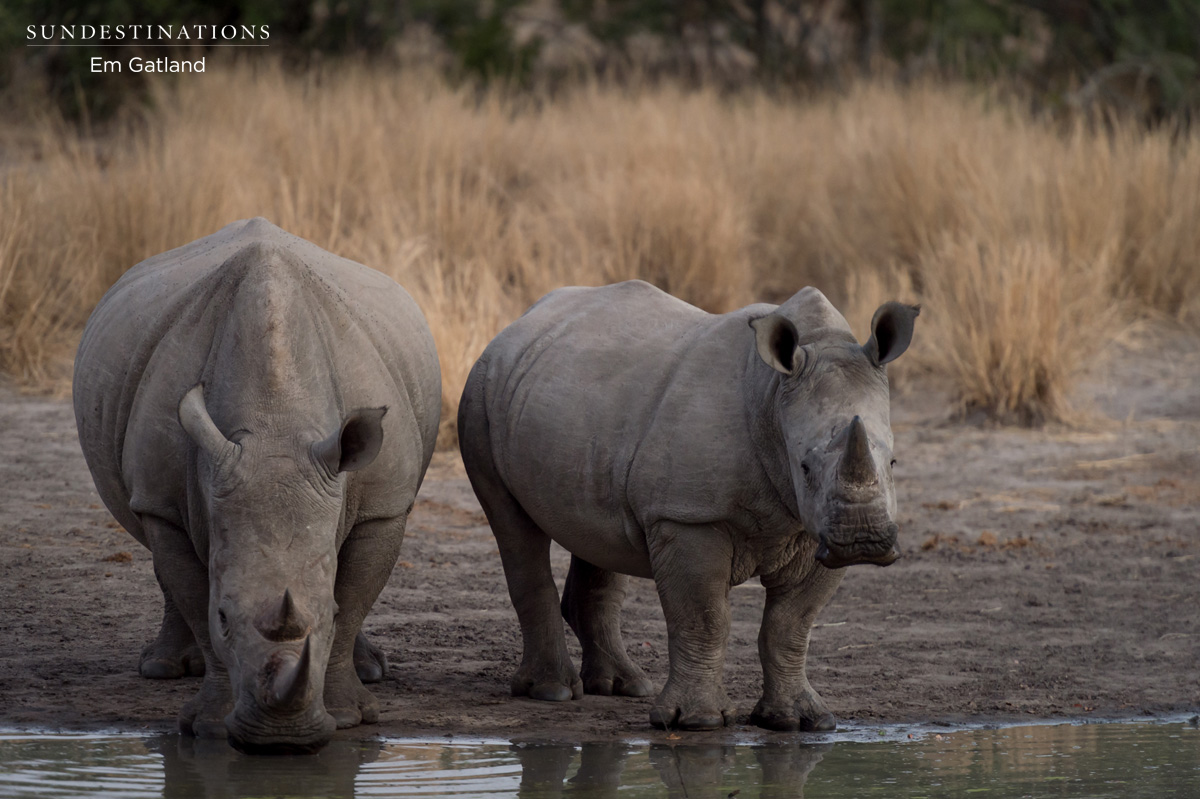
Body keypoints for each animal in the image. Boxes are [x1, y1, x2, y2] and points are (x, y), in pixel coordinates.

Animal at [73, 218, 440, 752]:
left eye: (327, 617)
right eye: (225, 617)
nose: (280, 740)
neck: (275, 422)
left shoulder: (385, 504)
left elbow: (354, 599)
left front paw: (348, 716)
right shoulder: (163, 495)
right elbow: (193, 594)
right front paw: (210, 725)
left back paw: (372, 671)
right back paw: (163, 670)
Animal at [458, 280, 917, 731]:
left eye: (894, 462)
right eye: (803, 467)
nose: (862, 540)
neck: (772, 397)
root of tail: (515, 326)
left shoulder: (812, 528)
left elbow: (791, 623)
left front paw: (798, 720)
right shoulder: (687, 515)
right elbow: (704, 618)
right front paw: (697, 721)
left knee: (595, 535)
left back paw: (623, 686)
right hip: (480, 395)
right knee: (514, 528)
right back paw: (553, 691)